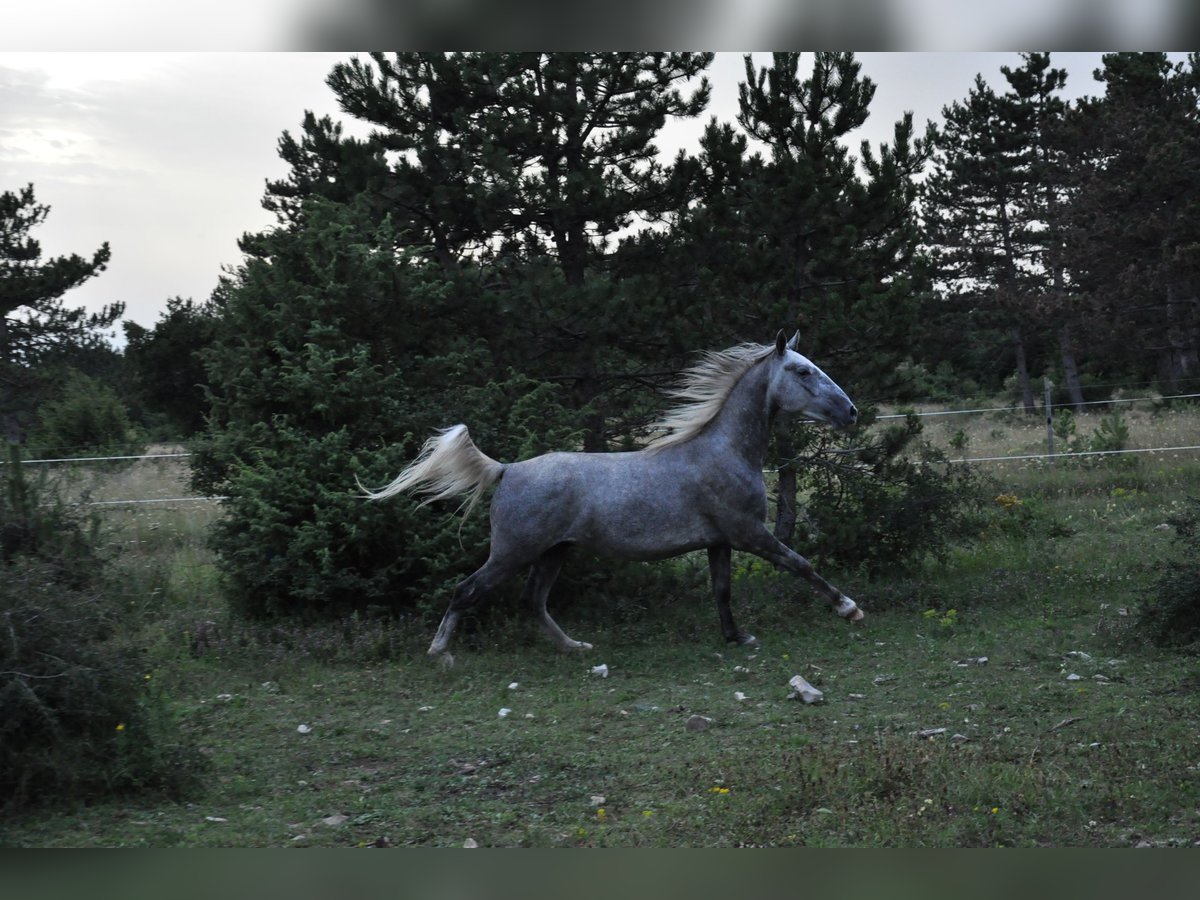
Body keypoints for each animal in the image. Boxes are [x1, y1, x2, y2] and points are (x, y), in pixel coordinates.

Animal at [362, 331, 864, 662]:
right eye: (802, 370)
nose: (851, 412)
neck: (724, 451)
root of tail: (506, 470)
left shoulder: (720, 541)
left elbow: (721, 590)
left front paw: (736, 638)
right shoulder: (748, 534)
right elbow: (800, 564)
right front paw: (849, 609)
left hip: (554, 552)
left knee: (532, 600)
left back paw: (576, 647)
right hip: (513, 551)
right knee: (467, 591)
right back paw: (440, 653)